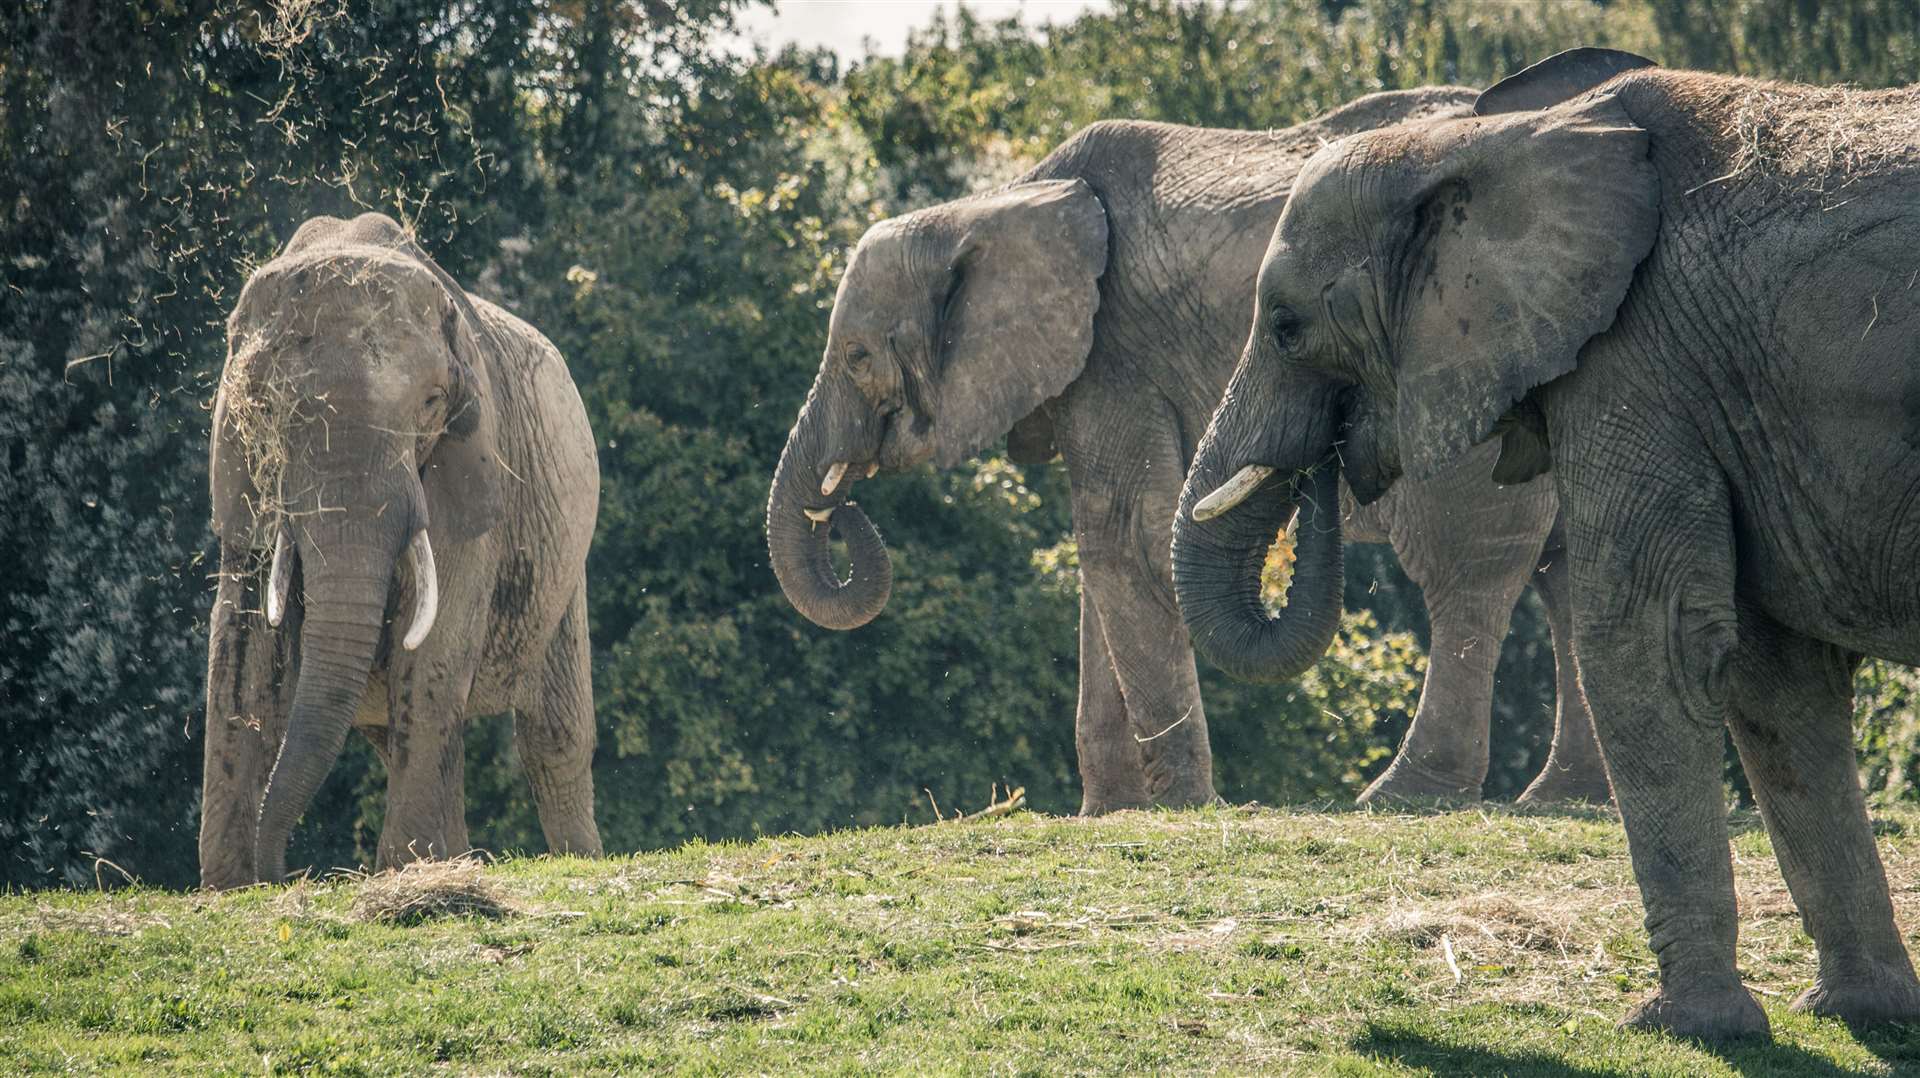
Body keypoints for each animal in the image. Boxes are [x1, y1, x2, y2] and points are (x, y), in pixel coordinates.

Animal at [202, 214, 599, 887]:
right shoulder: (243, 477)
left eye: (431, 404)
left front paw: (410, 869)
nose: (285, 871)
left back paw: (577, 860)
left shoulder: (472, 465)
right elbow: (241, 640)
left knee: (554, 735)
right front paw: (229, 887)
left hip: (566, 563)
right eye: (268, 409)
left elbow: (438, 636)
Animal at [760, 88, 1605, 810]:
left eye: (858, 357)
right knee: (1571, 563)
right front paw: (1111, 814)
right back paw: (1562, 799)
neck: (999, 200)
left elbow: (1126, 536)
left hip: (1467, 341)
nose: (841, 510)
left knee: (1470, 561)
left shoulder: (1114, 353)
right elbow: (1102, 553)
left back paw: (1403, 798)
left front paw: (1182, 808)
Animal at [1175, 46, 1920, 1037]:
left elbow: (1647, 642)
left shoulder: (1639, 359)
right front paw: (1859, 1013)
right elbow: (1777, 677)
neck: (1481, 143)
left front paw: (1683, 1025)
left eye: (1289, 326)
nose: (1334, 461)